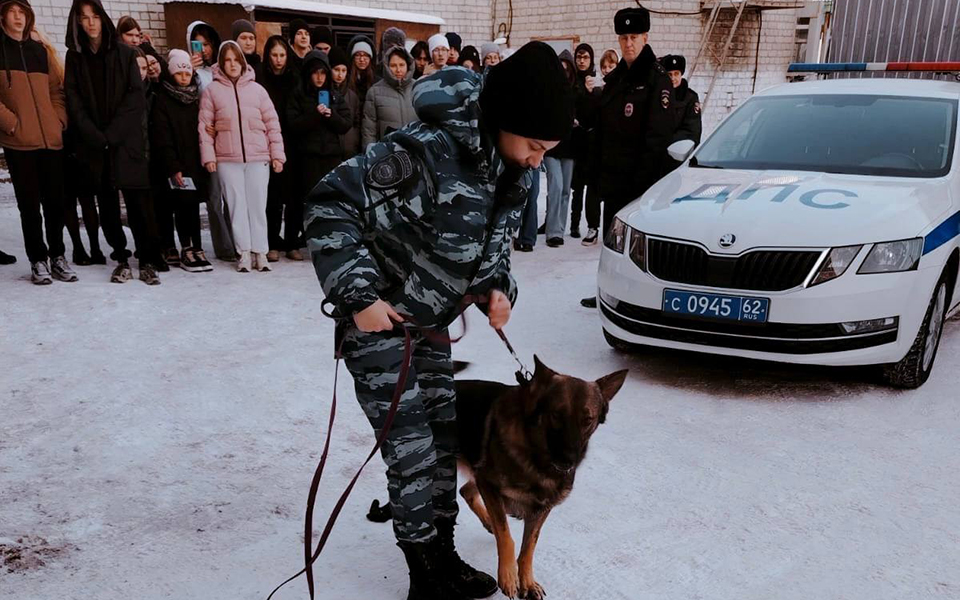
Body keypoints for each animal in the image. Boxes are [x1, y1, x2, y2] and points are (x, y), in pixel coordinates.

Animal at [455, 357, 628, 600]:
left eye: (587, 420)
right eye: (556, 414)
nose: (569, 461)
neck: (536, 457)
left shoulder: (541, 508)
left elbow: (529, 547)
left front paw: (527, 582)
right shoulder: (489, 484)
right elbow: (506, 536)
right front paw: (508, 576)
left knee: (466, 491)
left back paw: (488, 521)